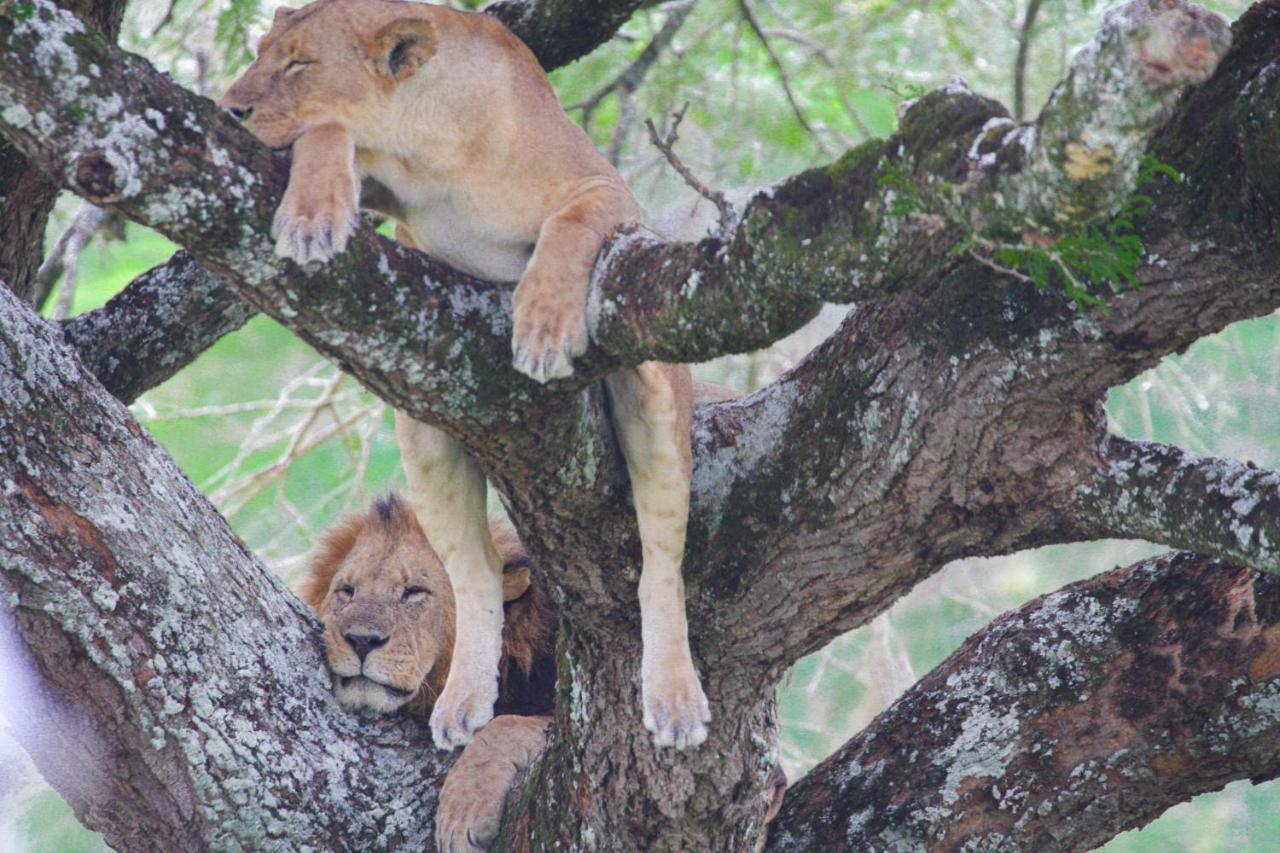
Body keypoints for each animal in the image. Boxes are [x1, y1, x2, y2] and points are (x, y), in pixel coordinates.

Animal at [225, 0, 716, 747]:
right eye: (260, 55)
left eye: (298, 64)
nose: (229, 110)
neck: (426, 147)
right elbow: (328, 134)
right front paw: (313, 213)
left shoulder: (608, 191)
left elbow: (570, 226)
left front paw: (543, 326)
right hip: (422, 426)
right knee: (477, 575)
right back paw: (462, 700)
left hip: (655, 395)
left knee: (660, 562)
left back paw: (673, 696)